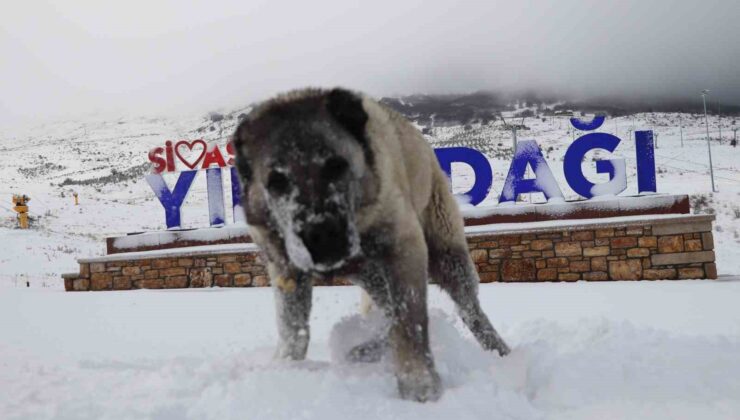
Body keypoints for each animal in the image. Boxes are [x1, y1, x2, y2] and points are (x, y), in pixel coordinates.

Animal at [231, 87, 508, 402]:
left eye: (336, 165)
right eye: (276, 181)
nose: (323, 236)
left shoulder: (403, 248)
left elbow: (408, 321)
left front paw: (419, 386)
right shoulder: (286, 270)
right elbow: (293, 330)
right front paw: (286, 369)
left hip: (448, 256)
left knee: (470, 310)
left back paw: (499, 351)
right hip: (371, 276)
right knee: (386, 314)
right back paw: (366, 350)